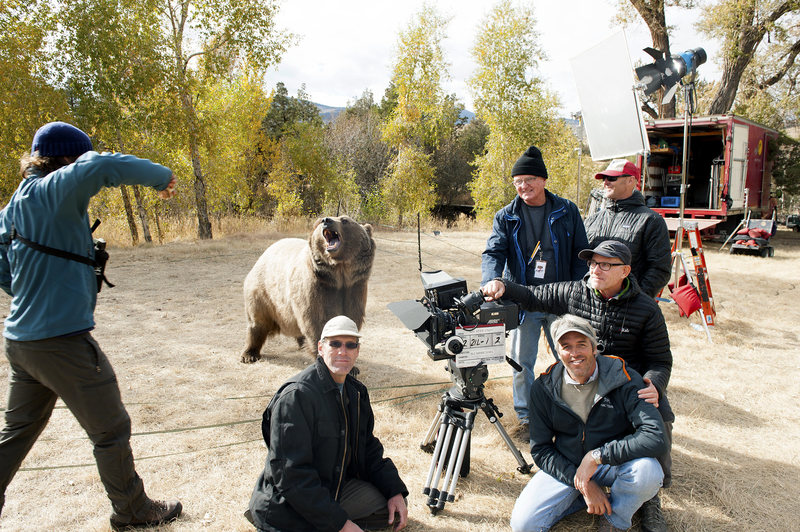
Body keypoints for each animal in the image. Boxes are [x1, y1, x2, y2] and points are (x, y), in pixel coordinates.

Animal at [241, 215, 376, 362]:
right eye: (321, 221)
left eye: (345, 220)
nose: (326, 220)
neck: (339, 275)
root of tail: (266, 252)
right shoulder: (317, 287)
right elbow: (317, 321)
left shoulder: (354, 287)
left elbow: (351, 318)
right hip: (263, 292)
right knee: (258, 321)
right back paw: (249, 354)